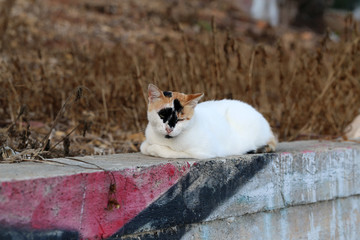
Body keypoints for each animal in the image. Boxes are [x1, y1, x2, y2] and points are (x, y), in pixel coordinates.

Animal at [140, 84, 276, 159]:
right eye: (162, 114)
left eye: (180, 119)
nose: (169, 129)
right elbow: (144, 146)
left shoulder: (202, 152)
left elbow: (165, 151)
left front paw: (153, 148)